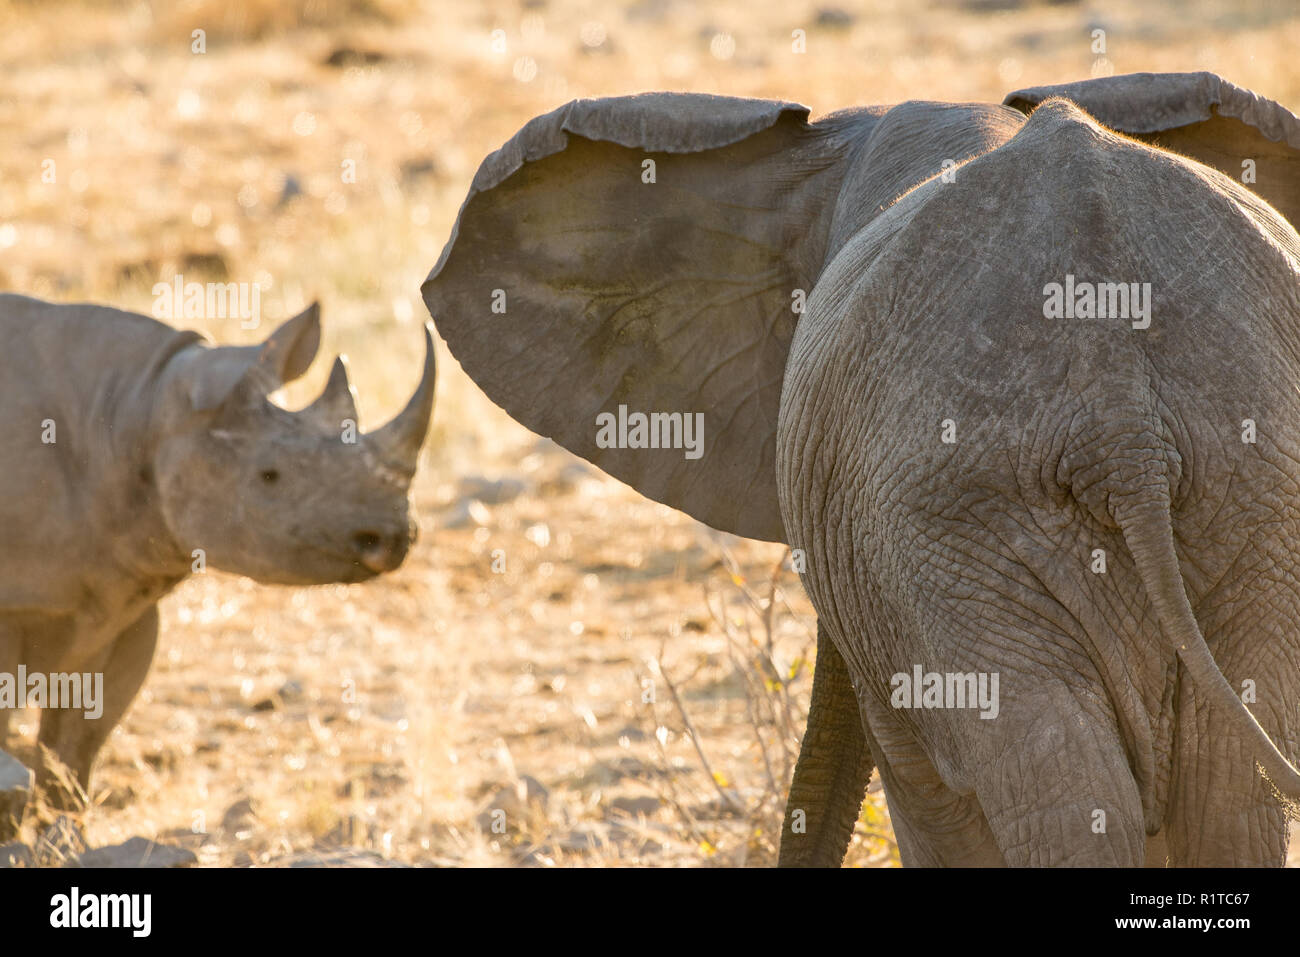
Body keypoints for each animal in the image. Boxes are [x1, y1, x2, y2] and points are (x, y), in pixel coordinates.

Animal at [423, 72, 1300, 868]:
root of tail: (1123, 411)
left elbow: (924, 792)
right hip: (1224, 498)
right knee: (1220, 790)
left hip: (953, 529)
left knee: (1061, 792)